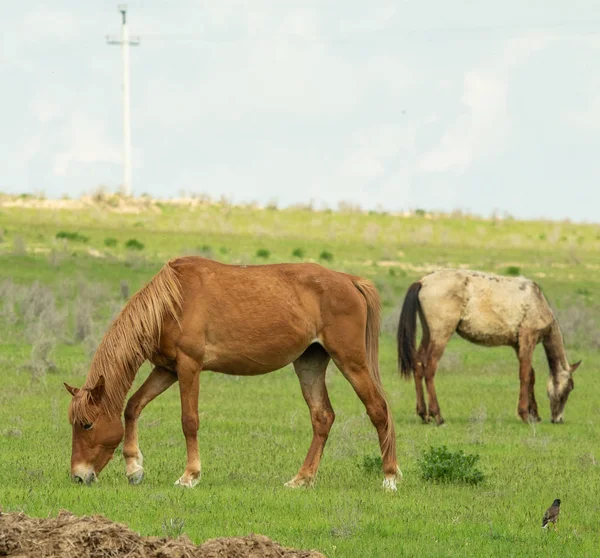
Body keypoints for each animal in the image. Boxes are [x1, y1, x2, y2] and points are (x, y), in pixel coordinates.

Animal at [63, 256, 400, 492]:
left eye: (87, 424)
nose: (78, 476)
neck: (172, 302)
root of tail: (350, 280)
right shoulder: (167, 369)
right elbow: (133, 406)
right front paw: (134, 468)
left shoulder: (189, 366)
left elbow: (189, 421)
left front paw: (190, 476)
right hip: (310, 362)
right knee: (322, 417)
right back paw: (301, 479)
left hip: (351, 361)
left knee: (378, 410)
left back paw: (390, 478)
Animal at [398, 270, 580, 424]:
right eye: (570, 388)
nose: (558, 419)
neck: (537, 302)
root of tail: (422, 281)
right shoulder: (528, 338)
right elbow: (525, 375)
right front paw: (525, 414)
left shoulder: (518, 345)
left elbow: (530, 375)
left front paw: (534, 414)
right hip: (440, 335)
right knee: (429, 368)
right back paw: (437, 415)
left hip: (428, 334)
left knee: (418, 364)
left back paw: (424, 414)